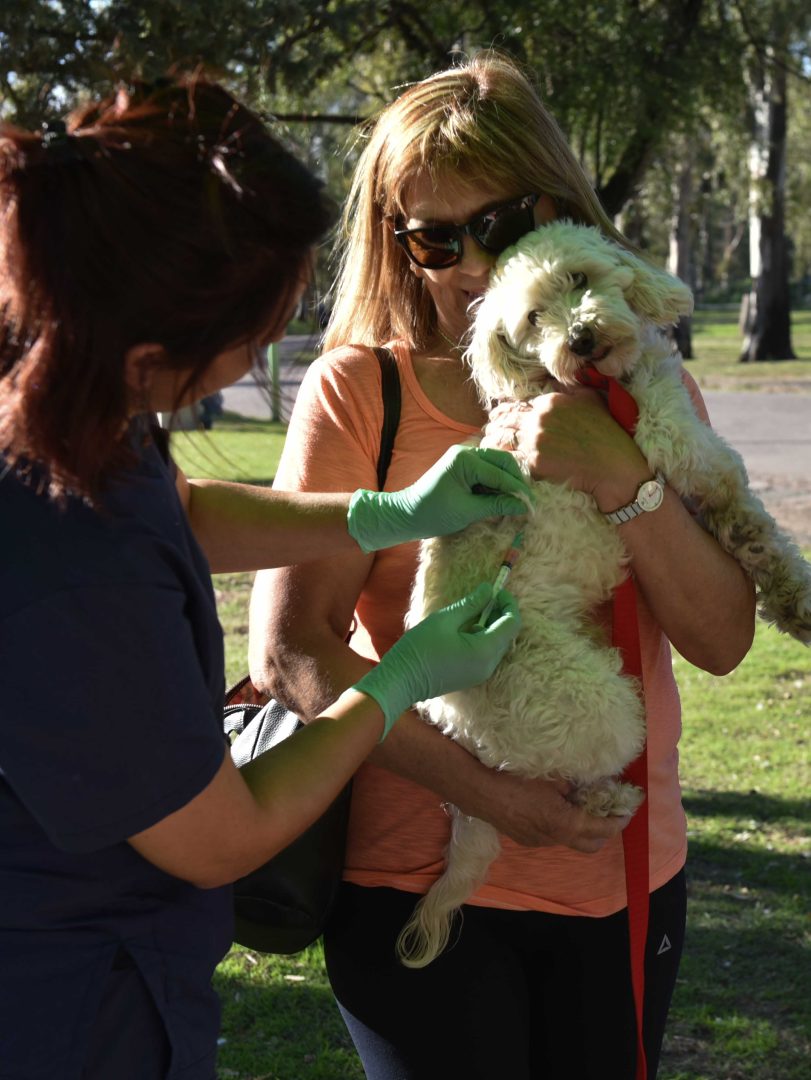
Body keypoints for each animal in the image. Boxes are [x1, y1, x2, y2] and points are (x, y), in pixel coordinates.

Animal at [397, 219, 811, 972]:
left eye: (577, 279)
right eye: (532, 319)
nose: (579, 339)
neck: (603, 388)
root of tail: (446, 714)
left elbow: (746, 538)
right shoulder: (686, 450)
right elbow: (756, 526)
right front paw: (801, 603)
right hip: (587, 699)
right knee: (556, 772)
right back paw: (604, 804)